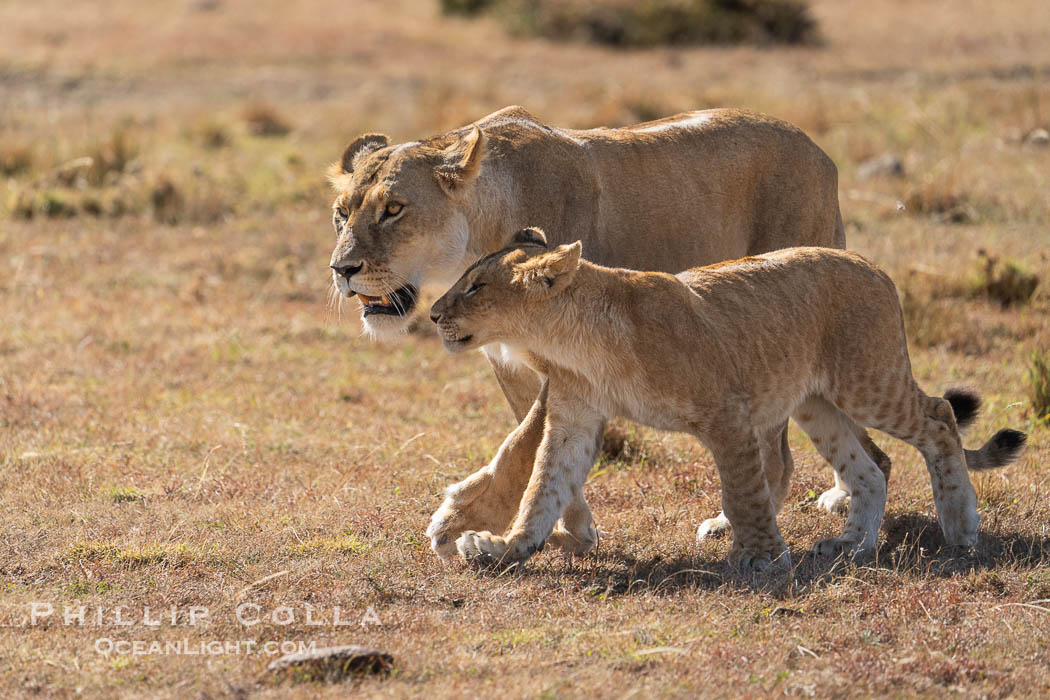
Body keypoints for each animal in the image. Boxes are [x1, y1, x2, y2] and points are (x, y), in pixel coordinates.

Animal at [327, 105, 889, 559]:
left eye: (393, 209)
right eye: (340, 214)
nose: (342, 269)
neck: (477, 232)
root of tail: (819, 151)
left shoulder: (567, 355)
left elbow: (520, 446)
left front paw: (459, 519)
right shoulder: (516, 363)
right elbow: (541, 450)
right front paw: (567, 531)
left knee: (798, 452)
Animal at [428, 228, 1026, 569]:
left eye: (476, 287)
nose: (432, 314)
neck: (569, 343)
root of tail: (873, 264)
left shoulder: (727, 413)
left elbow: (743, 491)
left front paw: (759, 559)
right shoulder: (574, 417)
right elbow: (543, 488)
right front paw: (506, 548)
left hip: (867, 382)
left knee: (940, 419)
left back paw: (961, 529)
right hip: (816, 404)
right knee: (871, 471)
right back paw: (850, 546)